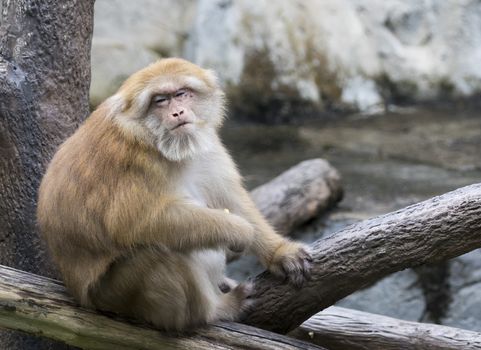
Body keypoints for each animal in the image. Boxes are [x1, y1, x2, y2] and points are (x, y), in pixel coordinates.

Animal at [39, 57, 314, 330]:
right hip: (113, 295)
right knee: (160, 250)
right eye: (160, 100)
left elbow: (228, 196)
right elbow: (133, 222)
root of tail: (79, 294)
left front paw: (280, 252)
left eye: (182, 94)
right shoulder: (133, 160)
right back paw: (214, 311)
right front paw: (238, 230)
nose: (178, 112)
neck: (155, 141)